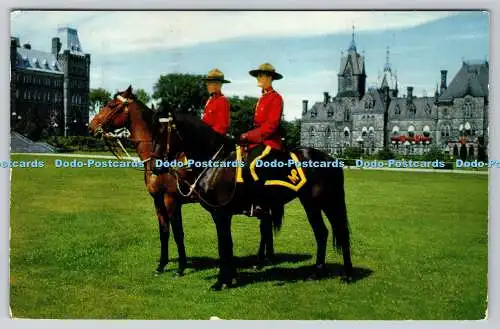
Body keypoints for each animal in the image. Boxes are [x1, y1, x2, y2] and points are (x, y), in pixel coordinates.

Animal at [88, 84, 280, 274]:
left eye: (111, 105)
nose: (91, 127)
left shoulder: (171, 199)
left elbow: (178, 232)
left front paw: (180, 267)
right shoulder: (158, 200)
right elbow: (164, 231)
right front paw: (162, 265)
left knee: (265, 226)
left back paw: (261, 261)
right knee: (266, 225)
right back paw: (264, 259)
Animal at [154, 110, 354, 290]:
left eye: (163, 135)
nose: (156, 167)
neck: (216, 162)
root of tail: (330, 158)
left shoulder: (221, 213)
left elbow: (224, 246)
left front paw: (221, 282)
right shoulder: (221, 215)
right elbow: (227, 245)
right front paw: (229, 278)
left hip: (320, 202)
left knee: (336, 232)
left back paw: (347, 275)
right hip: (316, 203)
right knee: (324, 232)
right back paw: (318, 272)